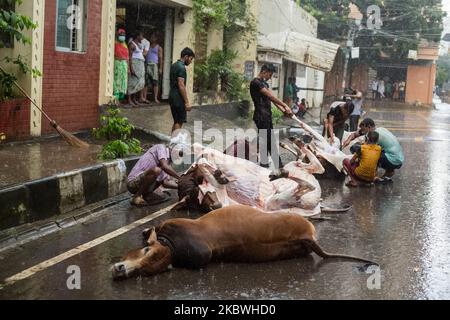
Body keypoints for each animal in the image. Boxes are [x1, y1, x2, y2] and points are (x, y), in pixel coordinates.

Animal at [111, 205, 376, 280]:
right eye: (144, 271)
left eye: (147, 250)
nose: (121, 269)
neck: (173, 248)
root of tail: (308, 238)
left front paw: (146, 230)